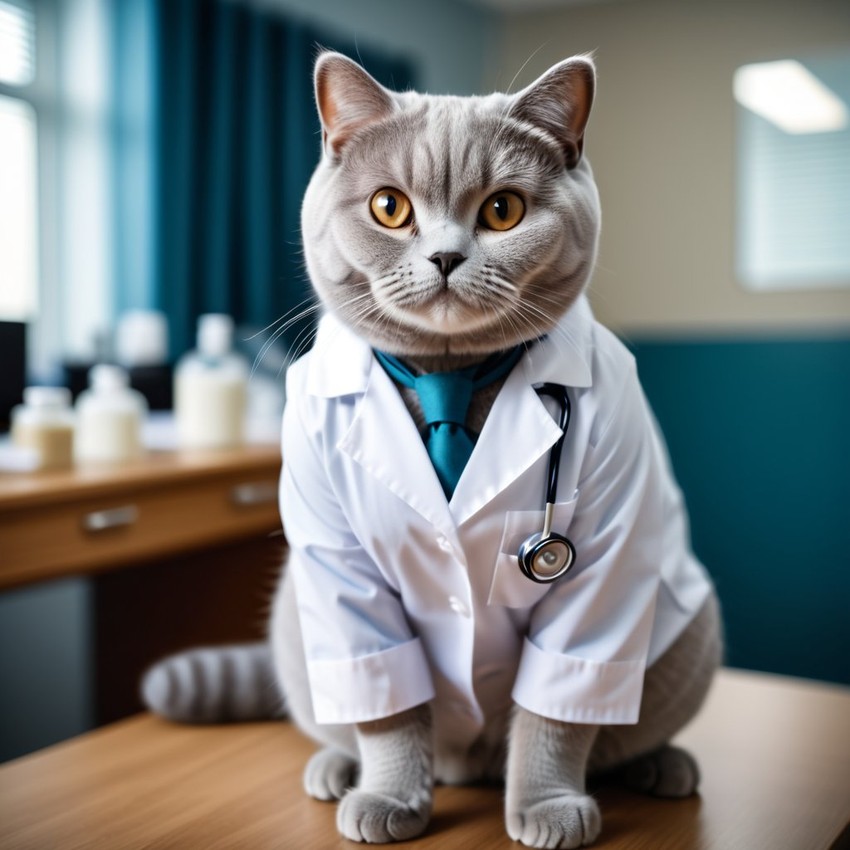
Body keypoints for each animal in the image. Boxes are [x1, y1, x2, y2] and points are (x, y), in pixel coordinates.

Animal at [141, 53, 724, 848]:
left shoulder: (604, 553)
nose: (446, 255)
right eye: (390, 207)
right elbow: (386, 702)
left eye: (503, 210)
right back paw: (337, 771)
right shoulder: (340, 569)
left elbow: (557, 707)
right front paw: (389, 796)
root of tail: (464, 764)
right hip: (298, 622)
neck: (449, 375)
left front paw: (546, 806)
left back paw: (664, 767)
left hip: (688, 631)